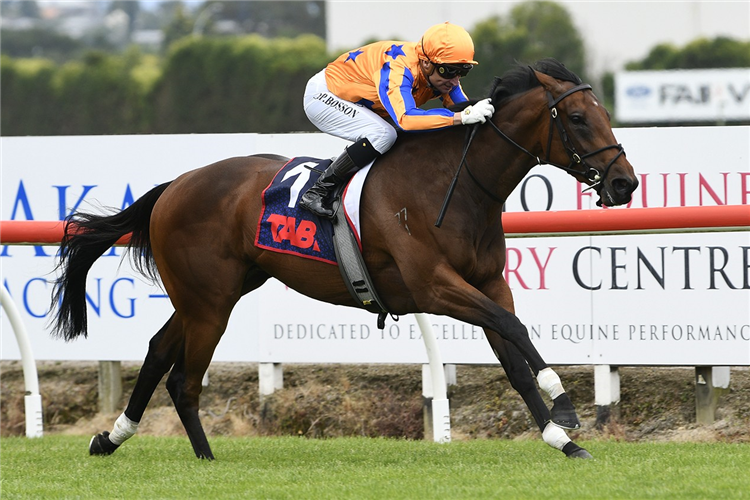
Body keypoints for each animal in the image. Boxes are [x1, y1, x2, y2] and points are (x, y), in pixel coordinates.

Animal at [51, 56, 640, 458]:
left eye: (604, 112)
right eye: (579, 118)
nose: (625, 183)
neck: (455, 185)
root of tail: (175, 185)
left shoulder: (488, 282)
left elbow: (513, 354)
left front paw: (562, 439)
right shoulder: (434, 286)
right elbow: (514, 330)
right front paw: (564, 404)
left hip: (214, 293)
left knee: (157, 354)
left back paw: (111, 437)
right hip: (210, 302)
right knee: (185, 379)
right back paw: (204, 458)